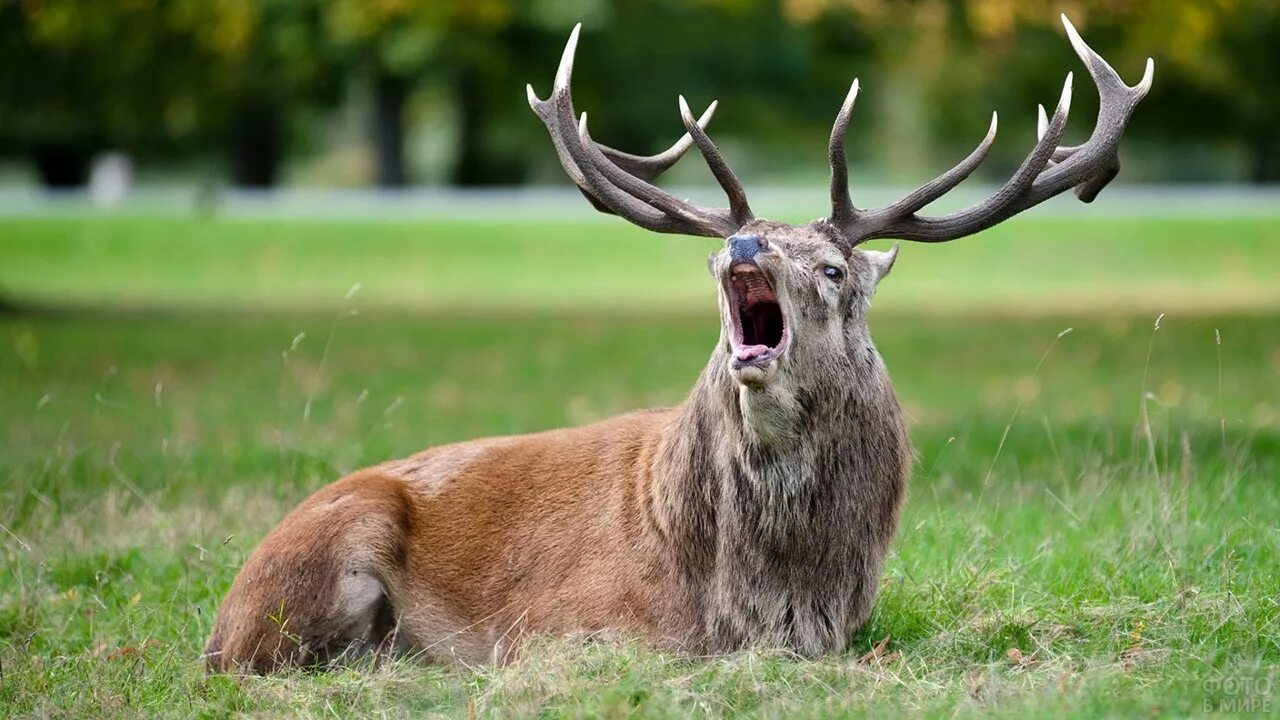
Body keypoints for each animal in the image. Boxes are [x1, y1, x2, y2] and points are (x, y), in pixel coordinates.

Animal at [207, 14, 1152, 671]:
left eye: (833, 268)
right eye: (713, 255)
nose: (742, 246)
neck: (758, 596)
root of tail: (217, 620)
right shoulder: (556, 625)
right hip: (327, 555)